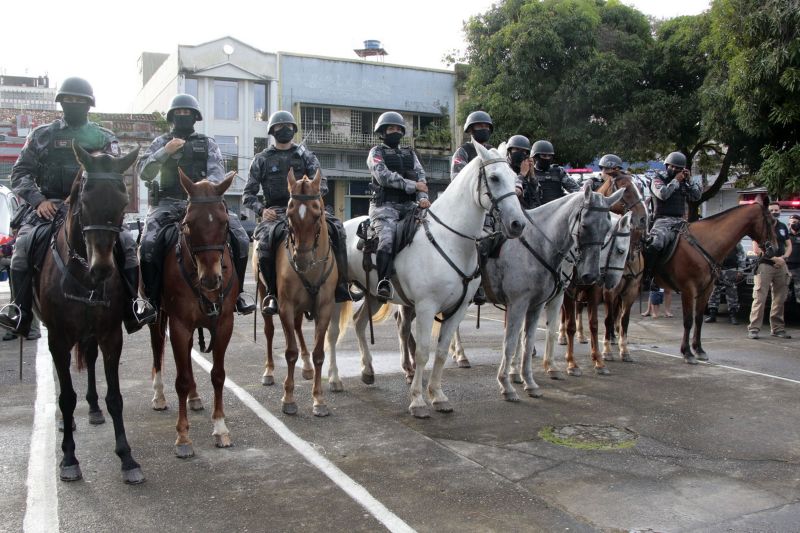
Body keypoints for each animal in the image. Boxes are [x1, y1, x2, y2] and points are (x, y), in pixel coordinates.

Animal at [35, 143, 145, 484]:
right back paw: (66, 423)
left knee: (91, 361)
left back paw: (94, 409)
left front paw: (127, 458)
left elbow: (115, 397)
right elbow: (66, 397)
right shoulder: (58, 338)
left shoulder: (110, 335)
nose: (103, 269)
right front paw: (69, 458)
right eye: (84, 200)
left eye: (123, 201)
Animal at [149, 168, 238, 456]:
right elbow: (181, 380)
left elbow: (218, 375)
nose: (211, 279)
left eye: (224, 222)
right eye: (188, 223)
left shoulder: (224, 324)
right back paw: (159, 395)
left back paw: (196, 397)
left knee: (187, 357)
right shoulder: (178, 325)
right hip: (158, 319)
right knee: (158, 351)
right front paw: (183, 437)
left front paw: (220, 428)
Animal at [328, 141, 528, 416]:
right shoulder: (425, 307)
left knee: (359, 323)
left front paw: (438, 396)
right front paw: (418, 400)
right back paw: (335, 379)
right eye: (495, 178)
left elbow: (442, 352)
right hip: (340, 294)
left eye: (514, 177)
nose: (518, 224)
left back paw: (367, 371)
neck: (451, 240)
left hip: (374, 295)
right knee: (333, 333)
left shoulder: (458, 309)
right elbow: (423, 352)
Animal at [648, 202, 776, 364]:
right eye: (771, 221)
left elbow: (698, 319)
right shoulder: (688, 289)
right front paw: (687, 352)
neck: (705, 242)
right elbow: (688, 320)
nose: (775, 249)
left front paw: (698, 350)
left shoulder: (706, 289)